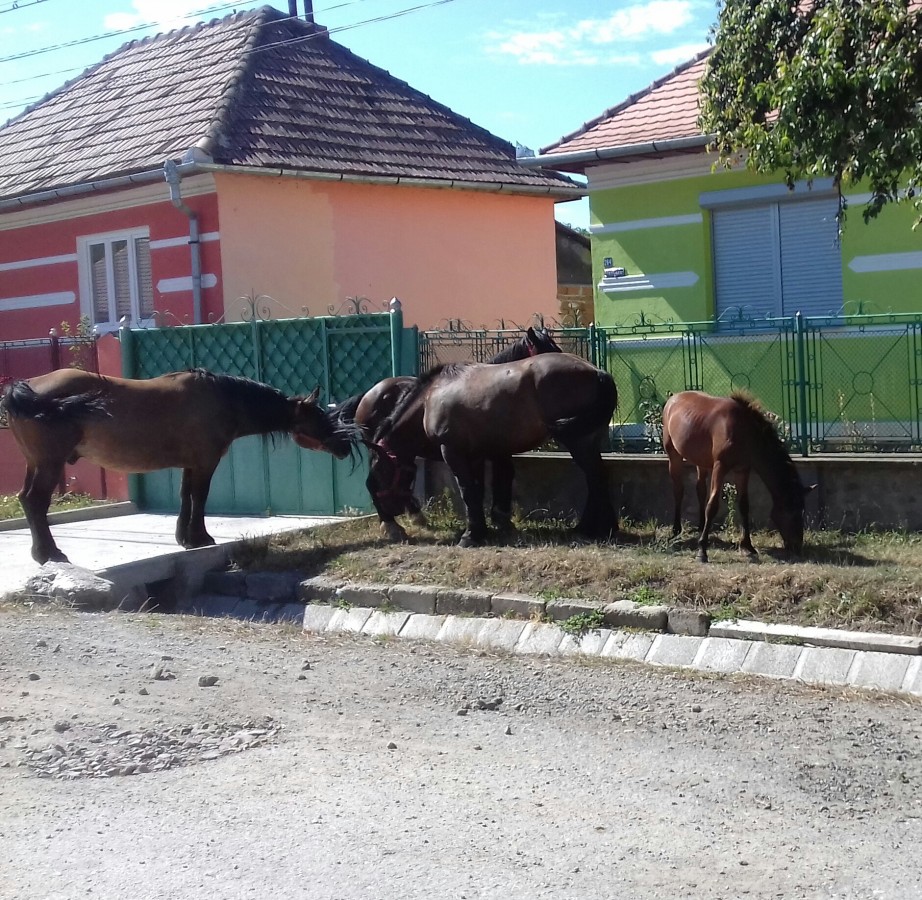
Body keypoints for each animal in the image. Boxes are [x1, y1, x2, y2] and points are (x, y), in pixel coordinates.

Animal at [1, 366, 358, 564]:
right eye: (321, 417)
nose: (344, 446)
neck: (223, 398)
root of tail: (25, 387)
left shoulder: (190, 464)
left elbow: (185, 497)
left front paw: (185, 538)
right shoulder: (206, 462)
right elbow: (199, 498)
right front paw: (201, 537)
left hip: (36, 463)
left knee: (26, 501)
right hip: (49, 464)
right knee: (36, 502)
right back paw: (50, 553)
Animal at [330, 326, 560, 536]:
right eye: (548, 349)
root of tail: (367, 395)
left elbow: (497, 478)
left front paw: (496, 519)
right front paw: (494, 520)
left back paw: (415, 516)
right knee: (372, 482)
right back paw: (391, 524)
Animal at [368, 356, 620, 544]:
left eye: (381, 473)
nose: (390, 513)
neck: (432, 396)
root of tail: (596, 372)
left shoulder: (452, 451)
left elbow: (467, 491)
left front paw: (471, 536)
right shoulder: (474, 456)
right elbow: (476, 491)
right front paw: (481, 530)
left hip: (578, 440)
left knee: (595, 476)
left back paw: (595, 528)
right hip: (588, 439)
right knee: (597, 476)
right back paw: (594, 527)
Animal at [660, 388, 812, 564]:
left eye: (802, 511)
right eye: (792, 511)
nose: (797, 546)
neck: (744, 432)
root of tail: (673, 399)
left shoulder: (743, 469)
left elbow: (744, 505)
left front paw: (748, 546)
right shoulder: (720, 466)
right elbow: (712, 506)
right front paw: (702, 551)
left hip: (701, 460)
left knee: (700, 489)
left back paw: (700, 526)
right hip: (673, 454)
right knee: (678, 490)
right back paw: (676, 530)